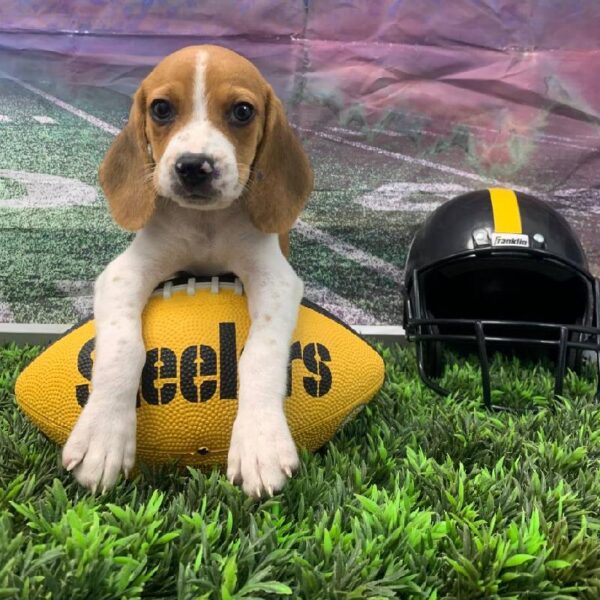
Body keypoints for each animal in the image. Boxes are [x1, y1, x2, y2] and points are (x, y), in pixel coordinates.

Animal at [61, 45, 314, 496]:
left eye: (243, 112)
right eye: (161, 109)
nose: (194, 166)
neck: (205, 223)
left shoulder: (276, 279)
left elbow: (261, 354)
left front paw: (260, 442)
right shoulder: (124, 274)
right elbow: (122, 348)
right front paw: (102, 435)